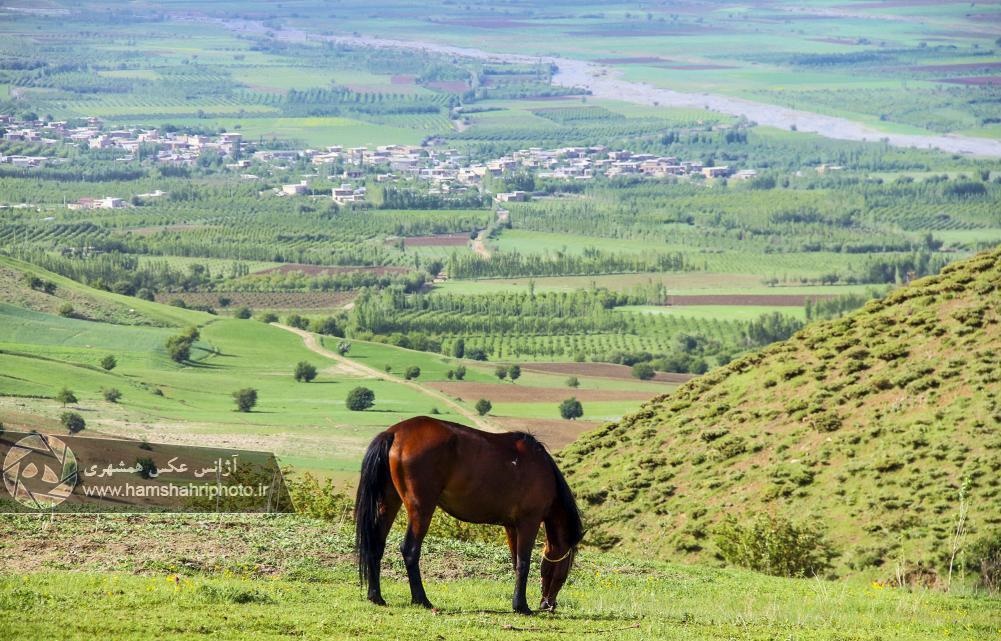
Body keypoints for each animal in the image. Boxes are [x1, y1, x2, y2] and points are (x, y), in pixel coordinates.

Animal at [354, 416, 584, 616]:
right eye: (566, 569)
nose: (549, 605)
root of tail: (394, 433)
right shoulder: (529, 522)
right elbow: (523, 563)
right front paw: (522, 606)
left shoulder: (511, 527)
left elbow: (515, 562)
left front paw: (517, 602)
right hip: (422, 508)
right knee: (410, 549)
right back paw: (421, 599)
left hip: (388, 502)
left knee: (376, 545)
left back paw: (376, 596)